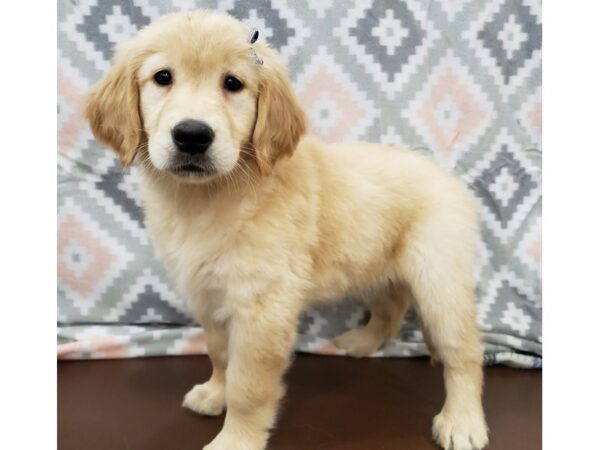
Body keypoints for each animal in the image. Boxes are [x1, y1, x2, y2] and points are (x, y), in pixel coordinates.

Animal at [84, 9, 488, 450]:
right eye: (162, 77)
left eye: (233, 83)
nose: (192, 135)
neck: (209, 196)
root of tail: (448, 177)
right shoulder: (209, 295)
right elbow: (219, 354)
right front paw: (214, 393)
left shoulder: (261, 308)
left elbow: (247, 385)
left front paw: (235, 439)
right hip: (369, 265)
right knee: (391, 308)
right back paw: (362, 342)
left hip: (438, 279)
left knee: (464, 349)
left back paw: (463, 421)